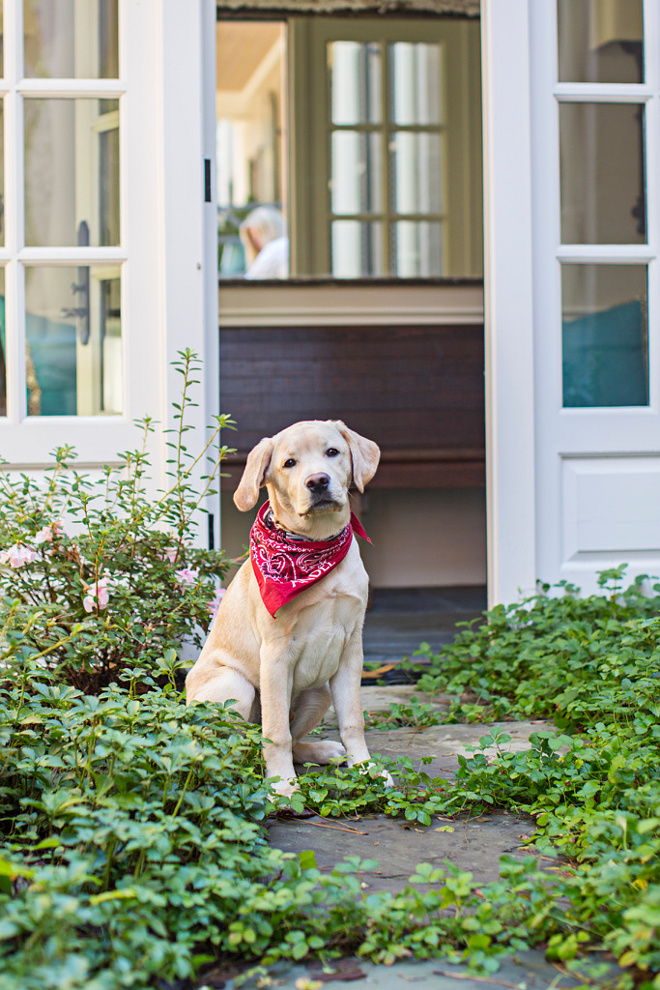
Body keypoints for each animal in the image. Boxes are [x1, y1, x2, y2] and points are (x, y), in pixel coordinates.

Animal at [186, 418, 390, 800]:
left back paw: (323, 751)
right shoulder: (276, 654)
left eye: (332, 452)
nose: (318, 481)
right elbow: (276, 732)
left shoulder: (351, 648)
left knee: (285, 742)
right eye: (289, 464)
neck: (315, 546)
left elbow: (352, 719)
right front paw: (281, 784)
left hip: (318, 691)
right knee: (233, 748)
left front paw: (366, 769)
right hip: (235, 686)